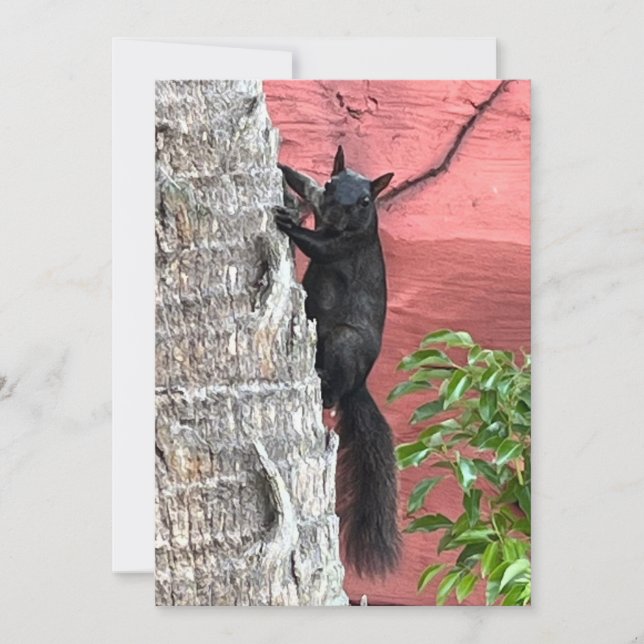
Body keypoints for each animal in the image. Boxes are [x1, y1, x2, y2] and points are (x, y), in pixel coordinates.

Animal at [273, 145, 401, 577]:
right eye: (331, 184)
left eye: (364, 201)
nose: (336, 210)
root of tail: (361, 383)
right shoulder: (318, 202)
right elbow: (302, 183)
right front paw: (282, 164)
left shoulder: (349, 244)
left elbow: (319, 247)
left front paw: (288, 223)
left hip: (344, 343)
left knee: (334, 393)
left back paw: (326, 387)